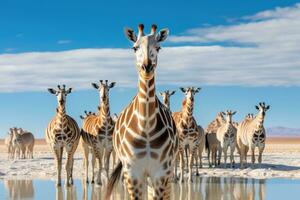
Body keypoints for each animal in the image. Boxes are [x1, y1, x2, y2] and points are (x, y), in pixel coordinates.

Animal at [105, 23, 178, 200]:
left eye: (158, 48)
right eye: (134, 47)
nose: (147, 67)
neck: (146, 126)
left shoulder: (160, 172)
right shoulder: (133, 172)